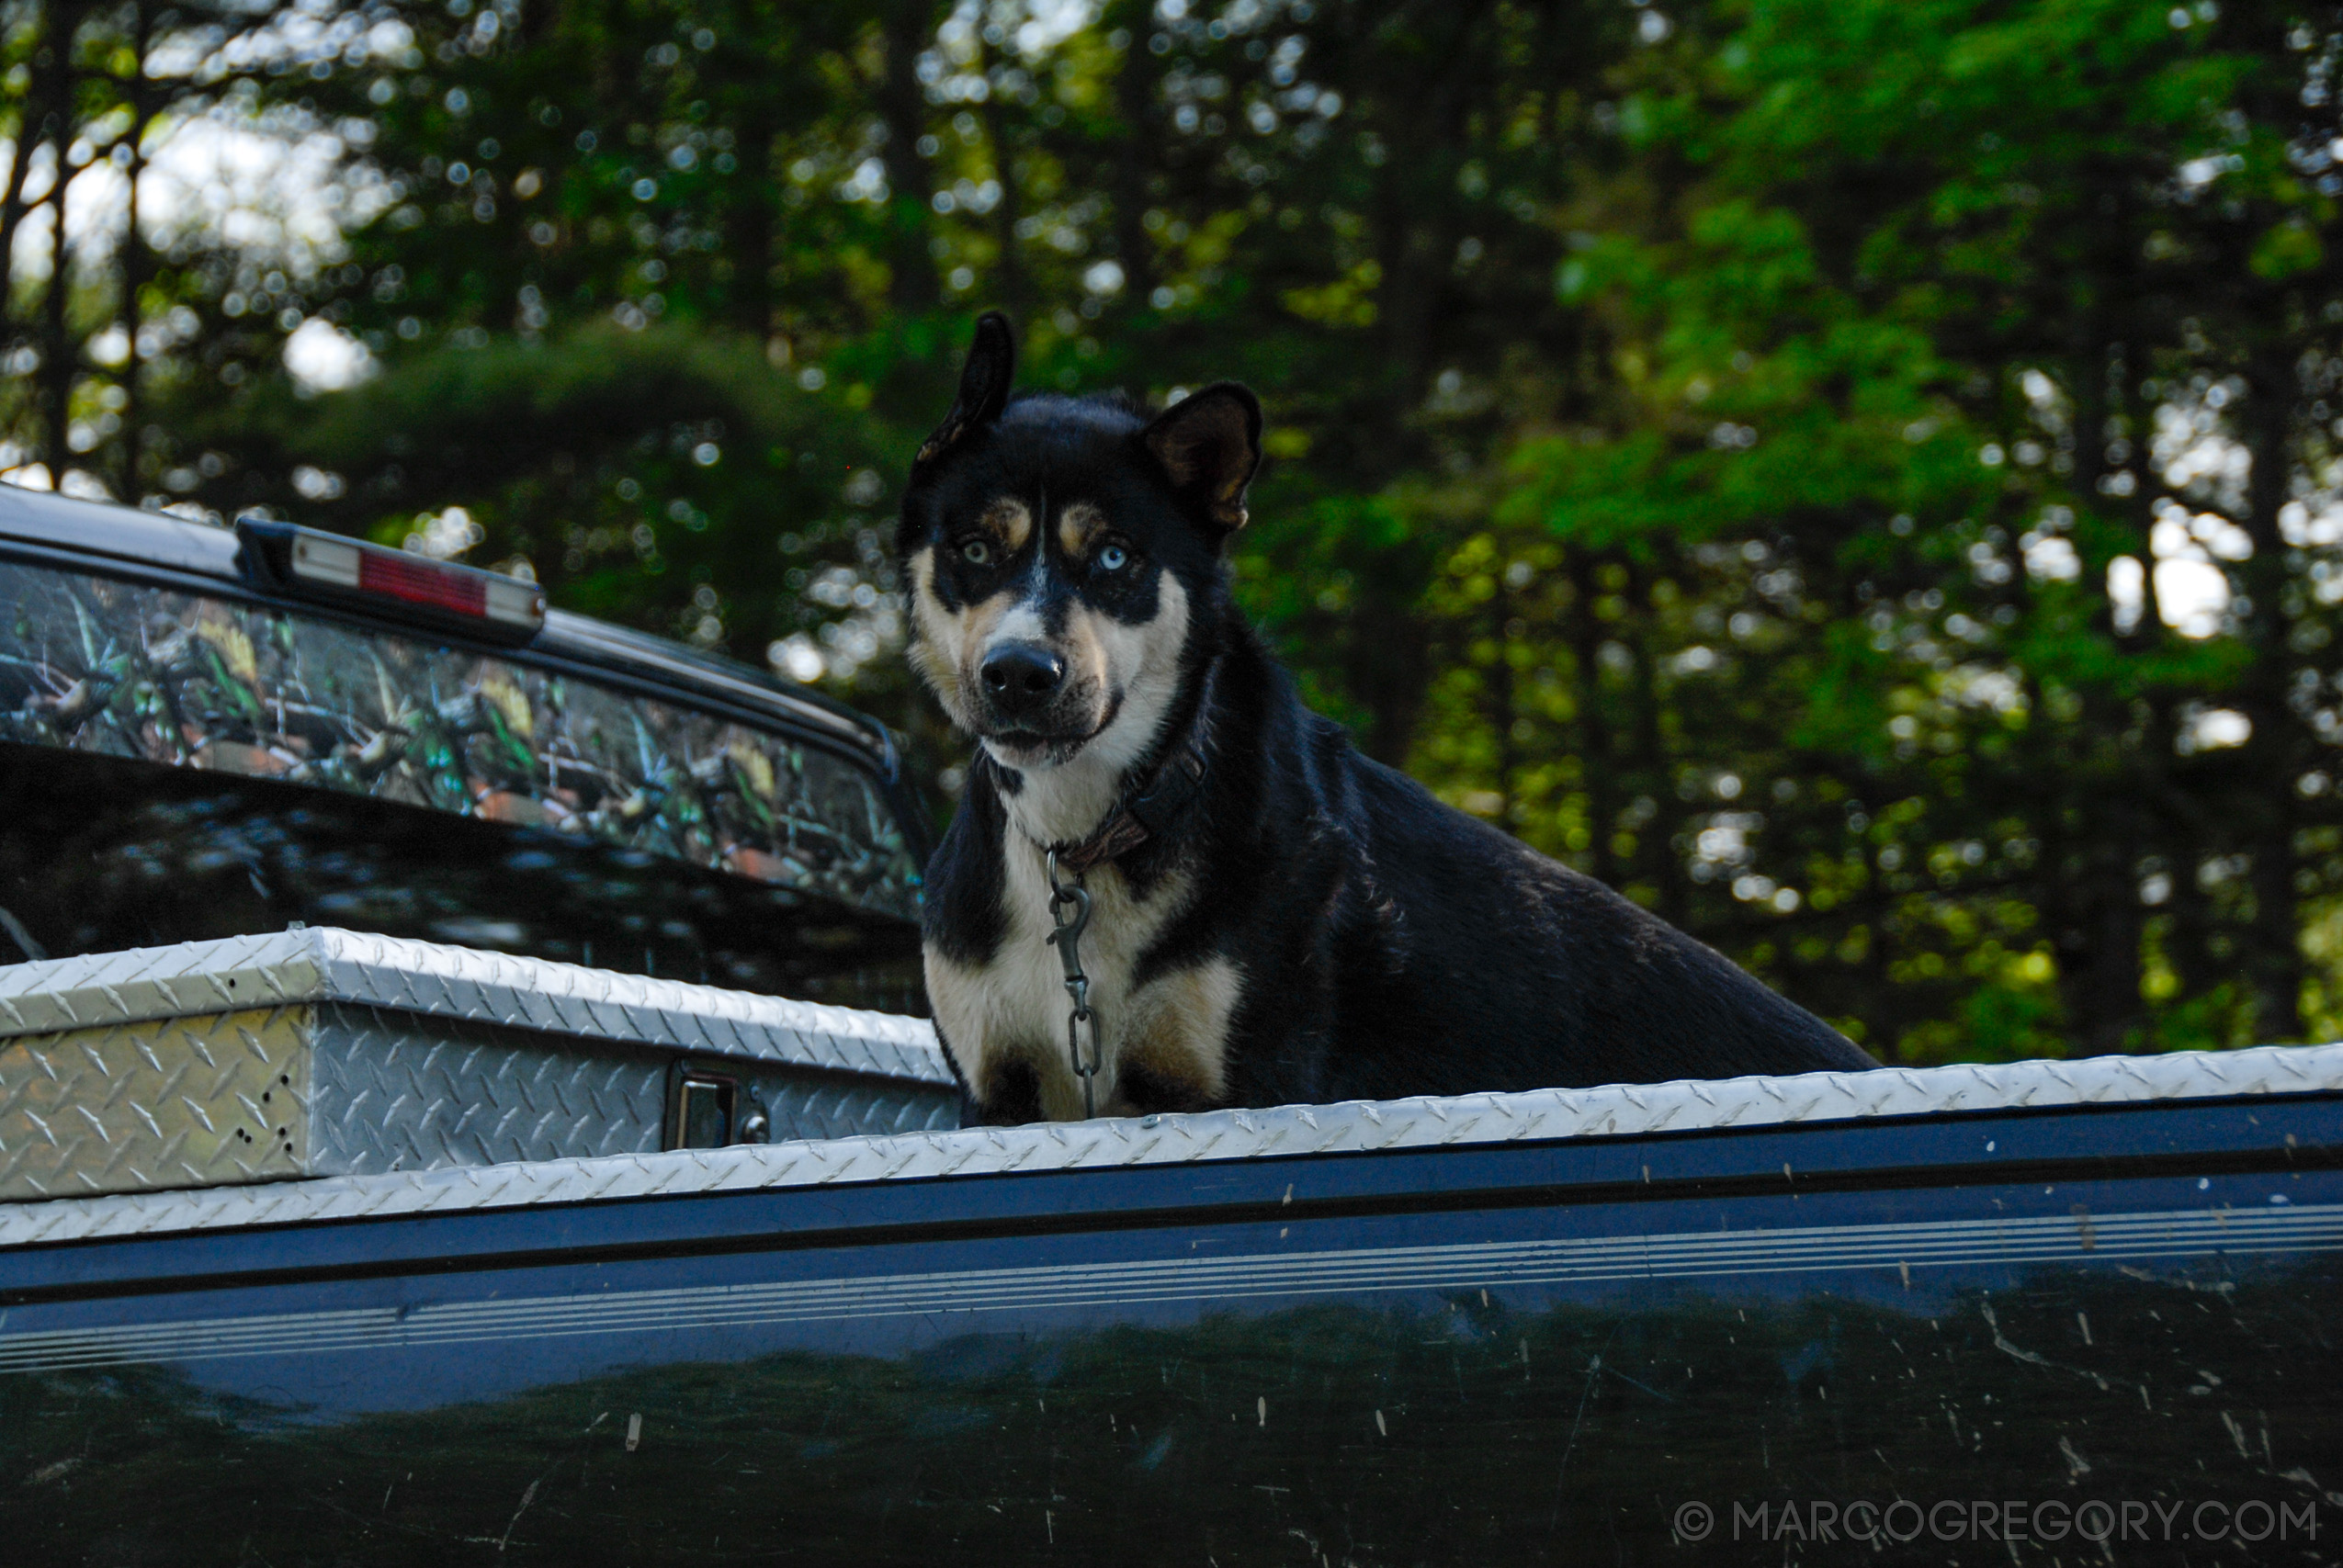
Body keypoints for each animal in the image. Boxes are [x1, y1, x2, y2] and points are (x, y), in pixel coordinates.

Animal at [890, 313, 1864, 1124]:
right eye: (973, 548)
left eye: (1115, 558)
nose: (1020, 674)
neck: (1090, 835)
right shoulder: (1001, 1097)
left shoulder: (1246, 1086)